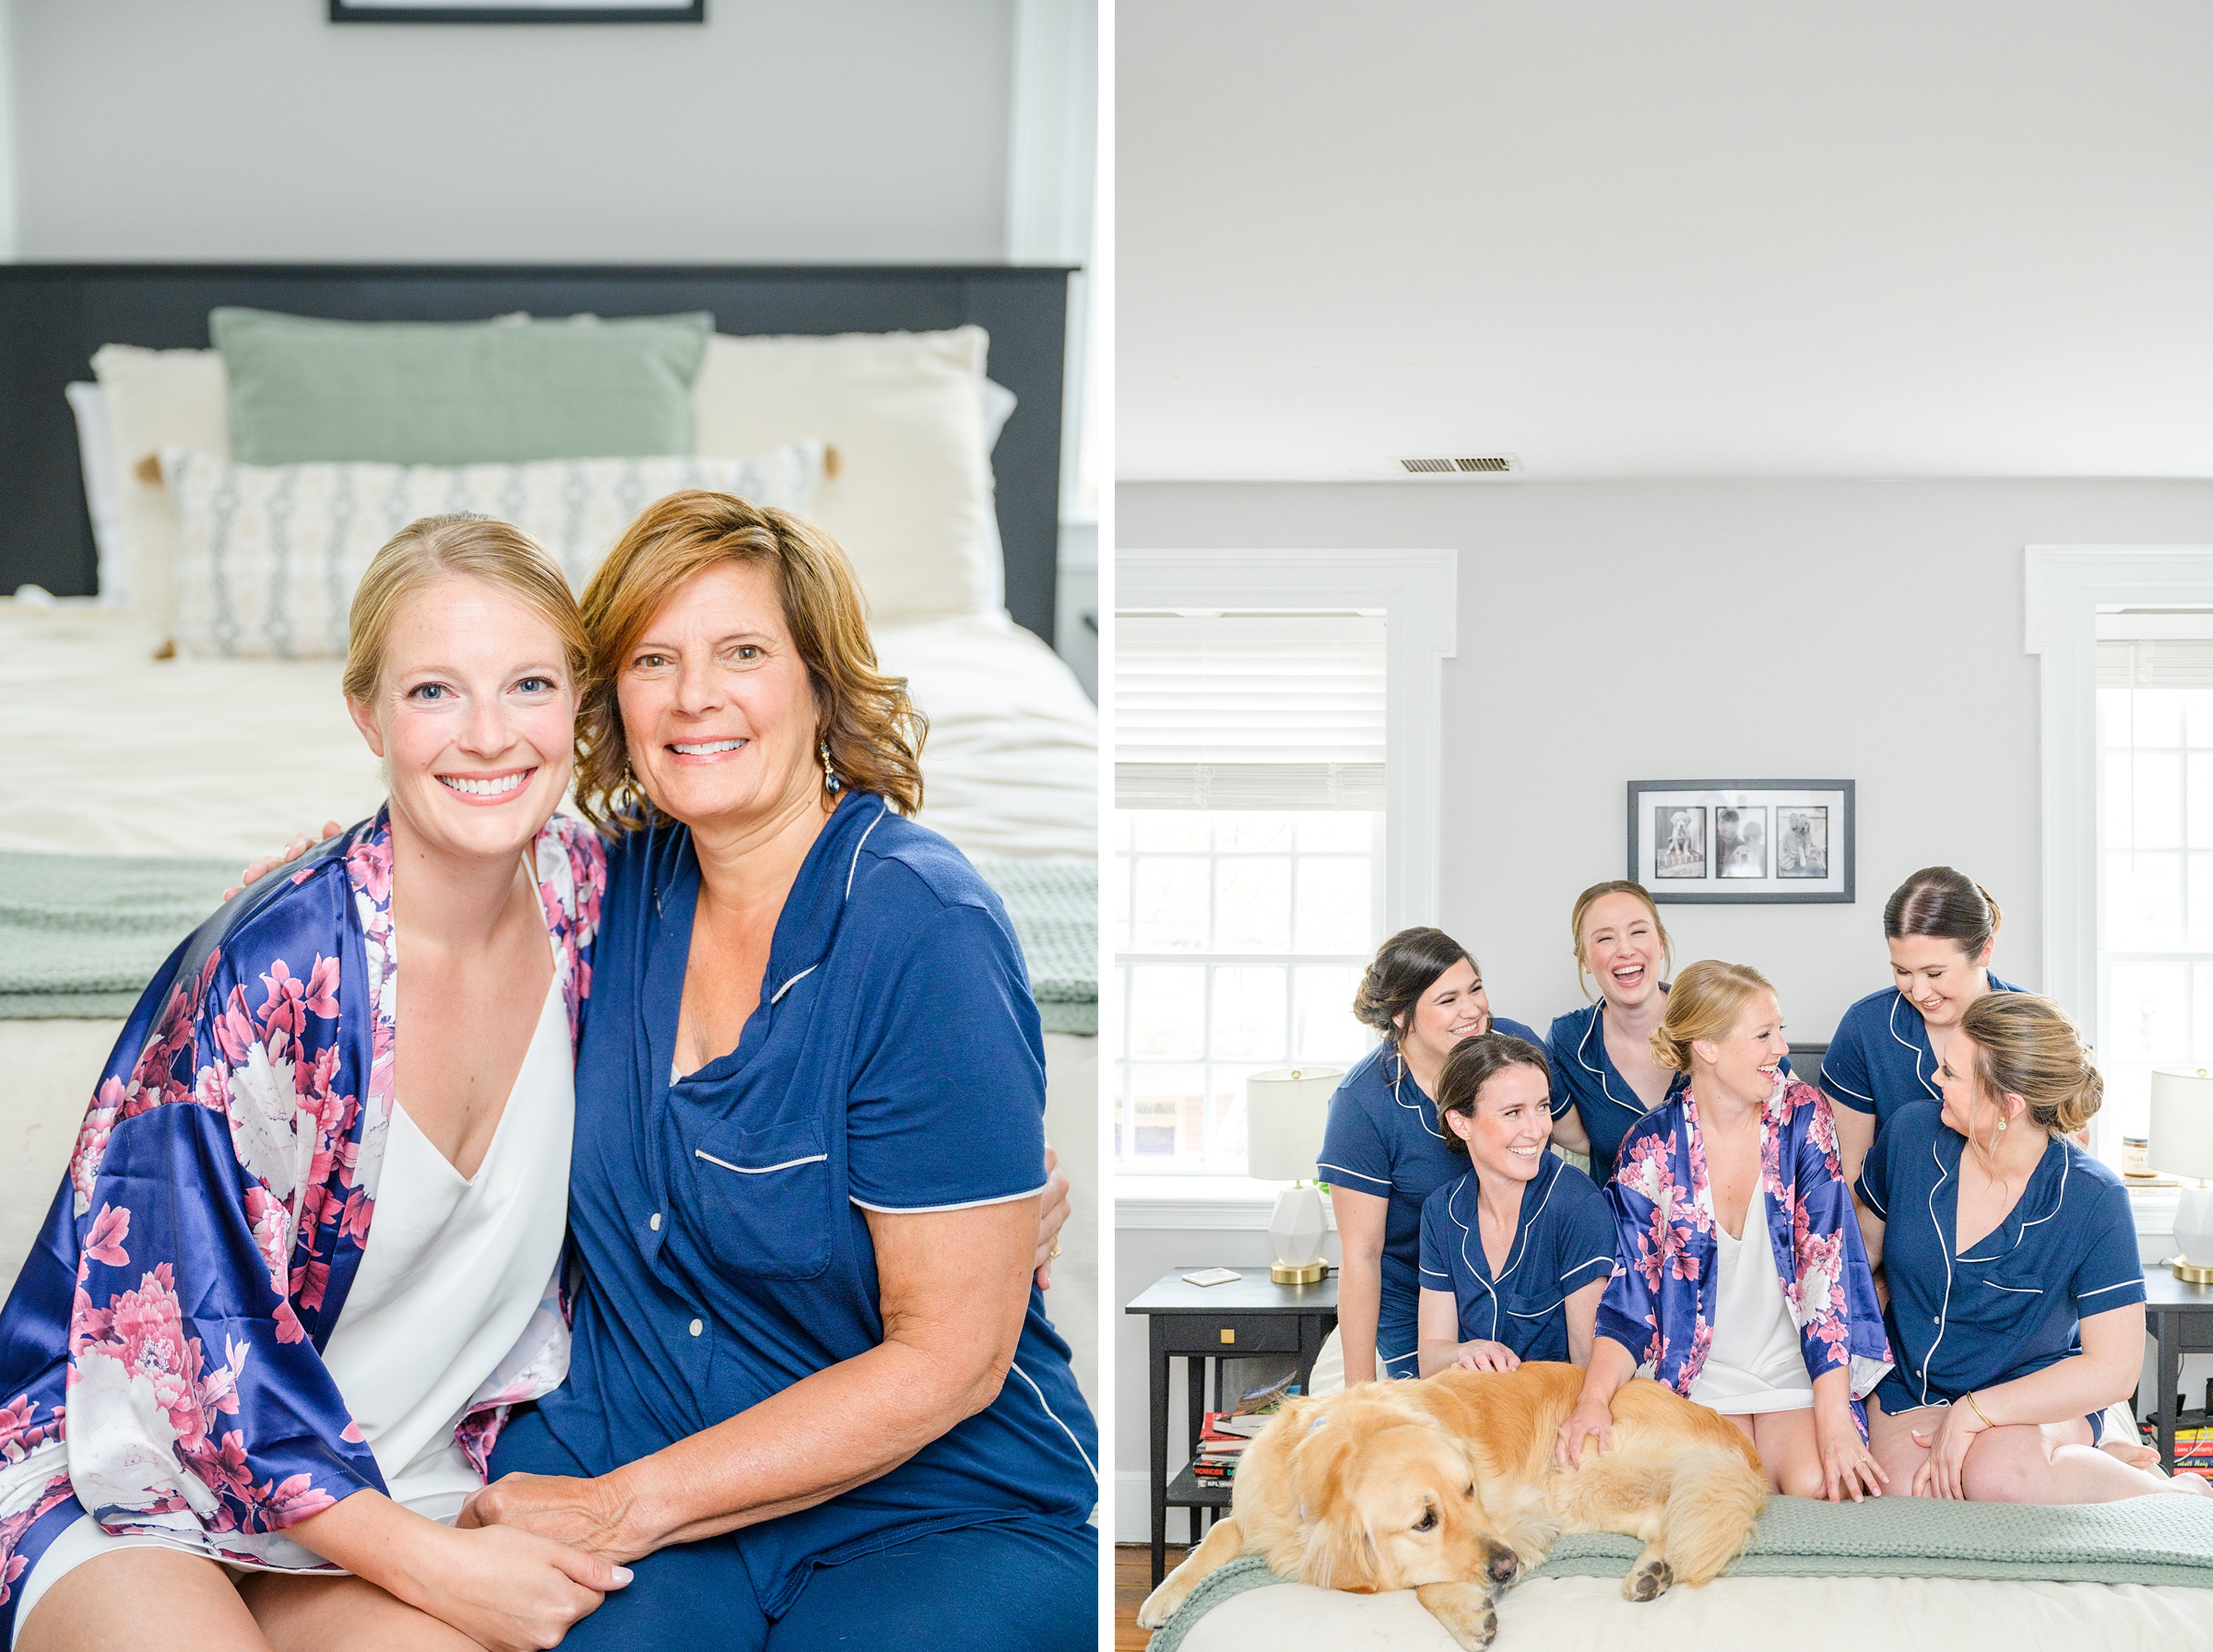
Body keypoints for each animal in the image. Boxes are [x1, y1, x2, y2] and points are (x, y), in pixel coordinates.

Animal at [1142, 1362, 1761, 1645]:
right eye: (1424, 1521)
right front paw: (1164, 1595)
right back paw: (1654, 1571)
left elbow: (1424, 1584)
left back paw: (1656, 1568)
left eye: (1470, 1490)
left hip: (1584, 1477)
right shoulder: (1260, 1512)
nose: (1507, 1568)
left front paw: (1466, 1615)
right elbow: (1216, 1533)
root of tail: (1741, 1449)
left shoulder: (1519, 1517)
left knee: (1684, 1512)